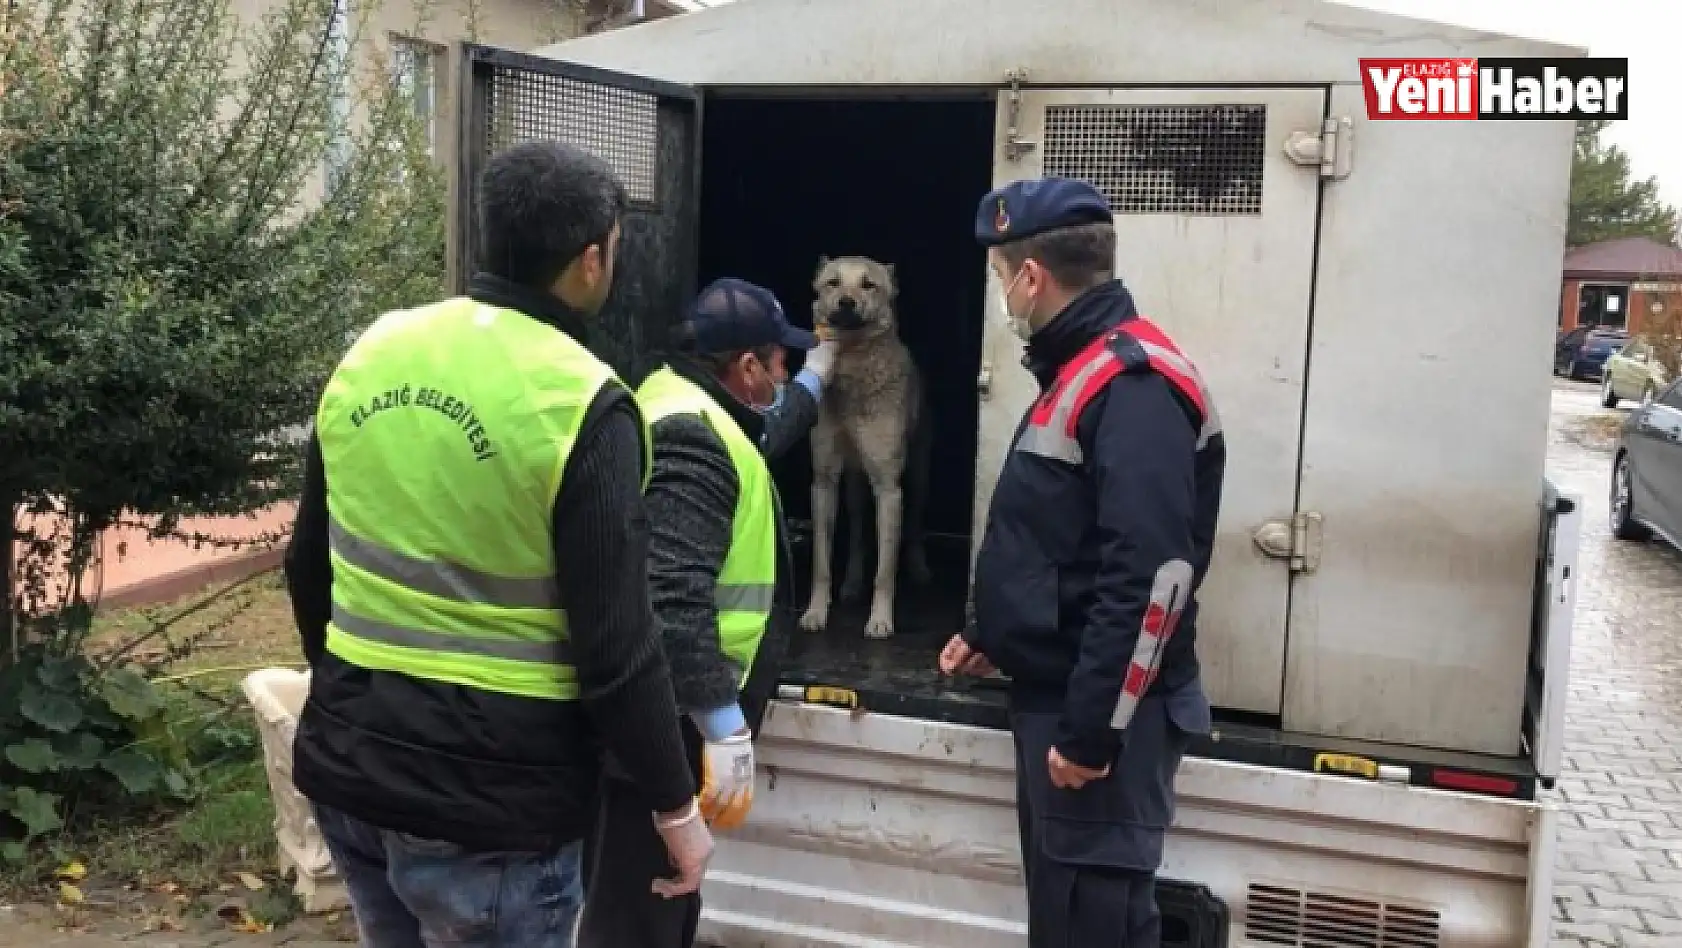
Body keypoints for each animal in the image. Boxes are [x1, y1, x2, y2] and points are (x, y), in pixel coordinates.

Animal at [797, 253, 935, 635]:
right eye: (833, 283)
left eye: (868, 285)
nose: (846, 302)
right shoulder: (823, 481)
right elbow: (821, 563)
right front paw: (816, 611)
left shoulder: (889, 487)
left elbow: (885, 571)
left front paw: (880, 620)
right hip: (854, 484)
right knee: (858, 531)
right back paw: (852, 582)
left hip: (917, 474)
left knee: (914, 524)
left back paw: (918, 568)